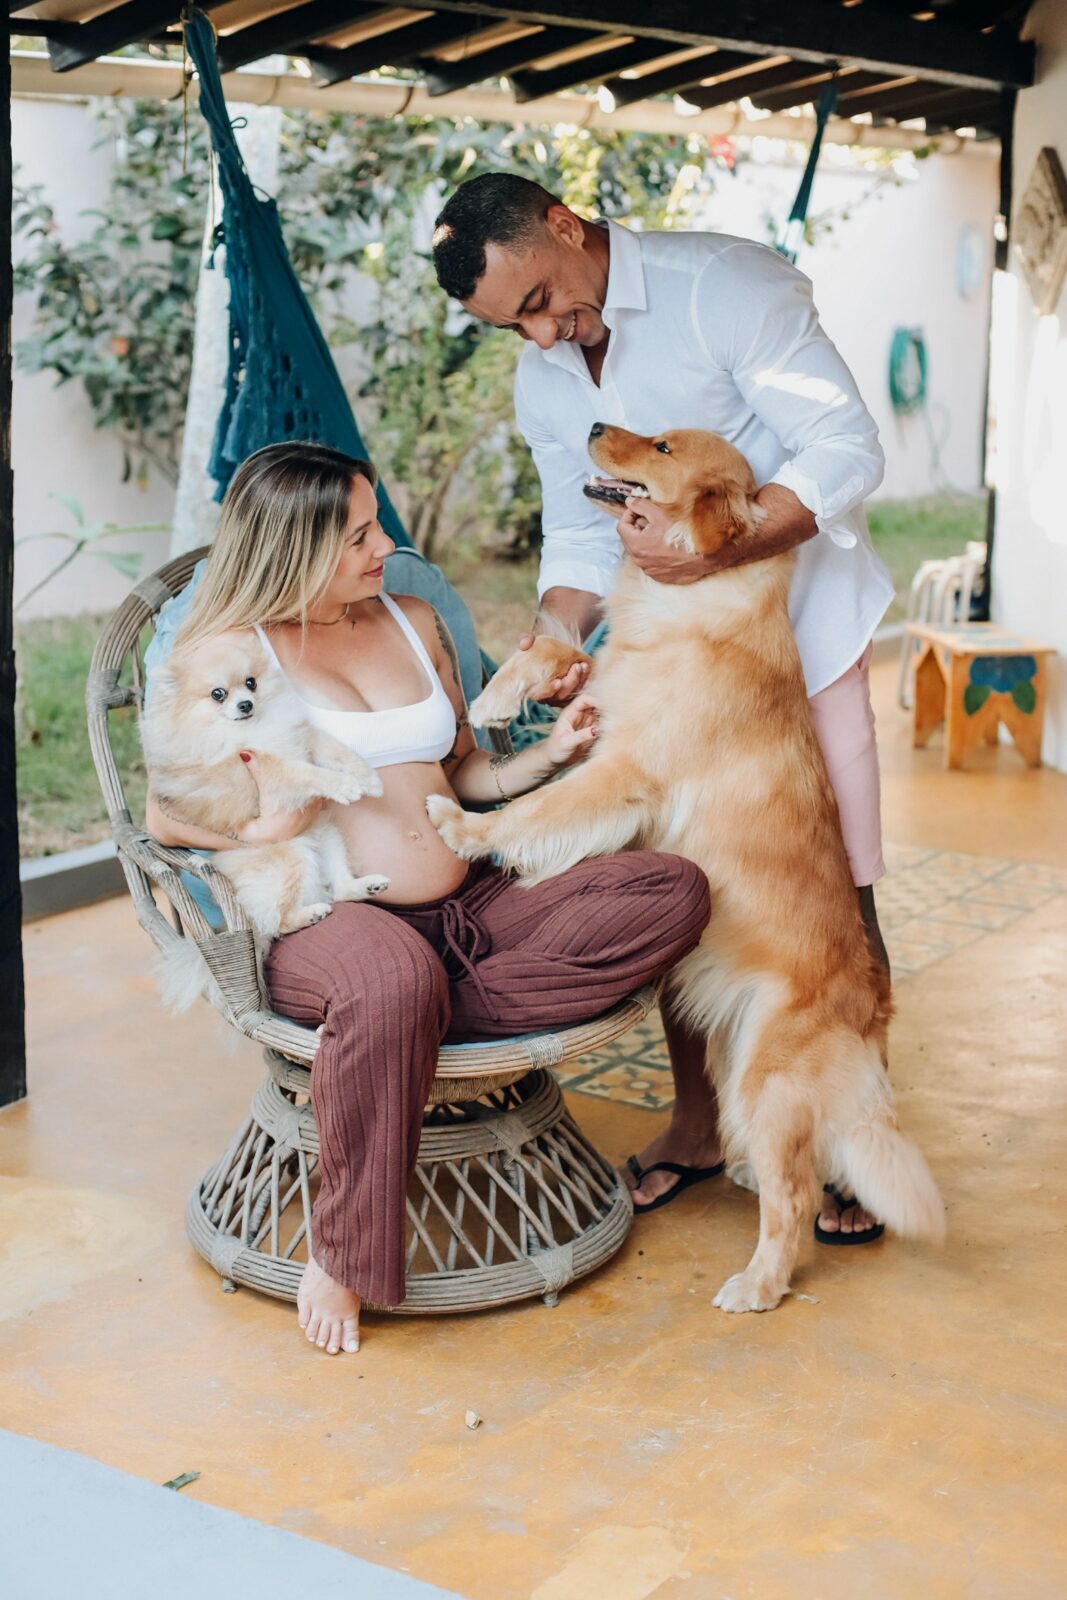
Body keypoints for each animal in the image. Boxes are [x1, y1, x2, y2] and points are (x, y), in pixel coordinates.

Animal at [142, 632, 389, 1005]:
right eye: (218, 694)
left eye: (251, 683)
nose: (245, 704)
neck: (252, 731)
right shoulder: (267, 767)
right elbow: (306, 773)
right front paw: (342, 785)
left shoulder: (301, 737)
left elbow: (337, 751)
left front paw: (366, 777)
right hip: (290, 859)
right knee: (277, 922)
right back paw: (309, 914)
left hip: (327, 835)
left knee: (340, 888)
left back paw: (366, 885)